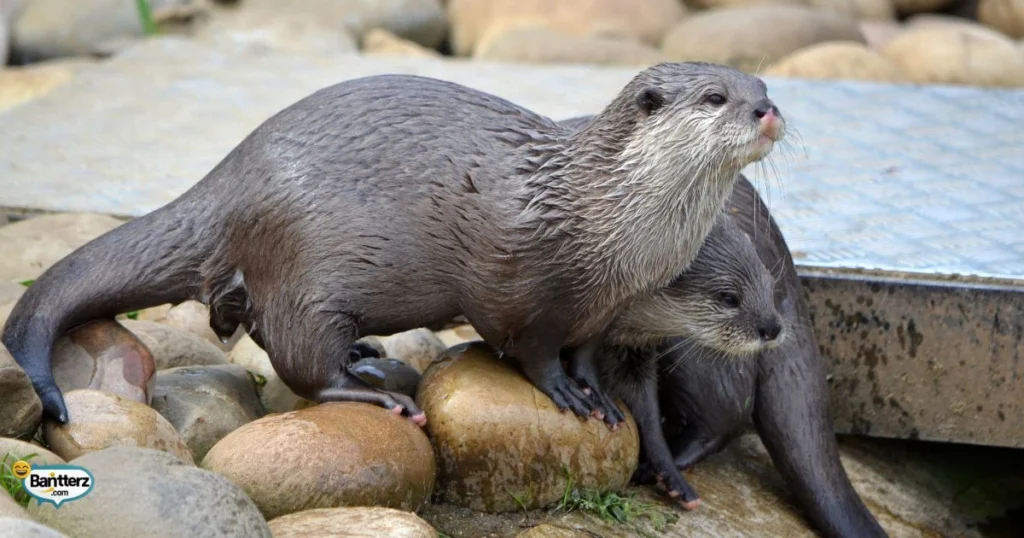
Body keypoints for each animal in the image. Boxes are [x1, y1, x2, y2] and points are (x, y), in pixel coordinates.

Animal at [3, 64, 783, 508]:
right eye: (717, 97)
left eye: (764, 89)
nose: (767, 110)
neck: (599, 222)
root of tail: (231, 179)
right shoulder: (519, 285)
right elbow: (527, 349)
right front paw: (563, 393)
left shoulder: (607, 311)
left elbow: (590, 356)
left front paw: (600, 396)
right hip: (310, 268)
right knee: (300, 358)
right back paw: (369, 388)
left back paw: (368, 355)